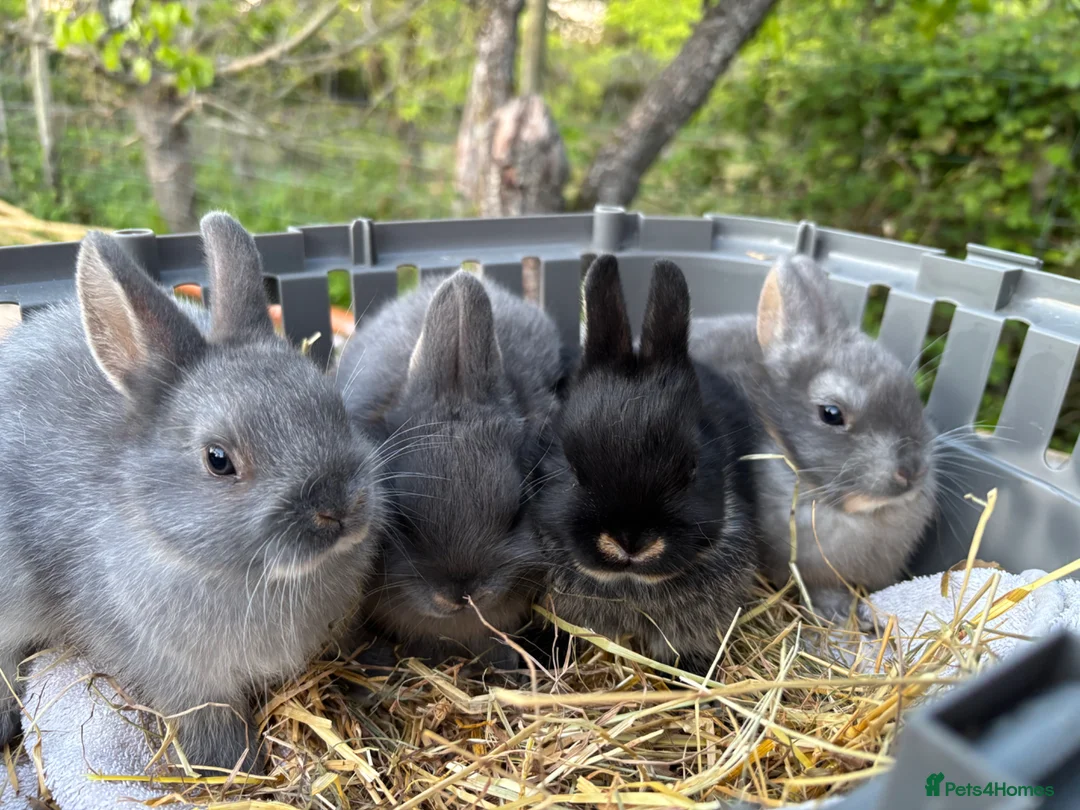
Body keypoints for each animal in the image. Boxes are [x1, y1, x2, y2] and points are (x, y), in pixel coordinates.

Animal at [0, 213, 387, 774]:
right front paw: (231, 766)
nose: (339, 508)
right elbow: (209, 722)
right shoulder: (185, 680)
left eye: (334, 408)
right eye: (218, 459)